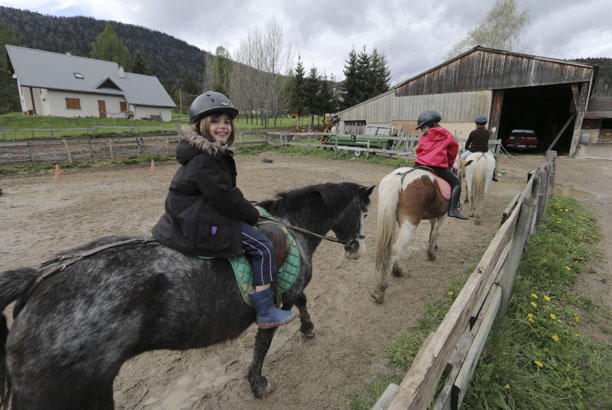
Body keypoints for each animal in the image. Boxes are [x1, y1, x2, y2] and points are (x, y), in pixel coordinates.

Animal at [368, 167, 450, 304]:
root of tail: (400, 177)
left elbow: (432, 230)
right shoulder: (443, 215)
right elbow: (435, 233)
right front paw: (431, 254)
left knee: (392, 247)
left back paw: (396, 271)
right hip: (409, 223)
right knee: (395, 250)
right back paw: (381, 289)